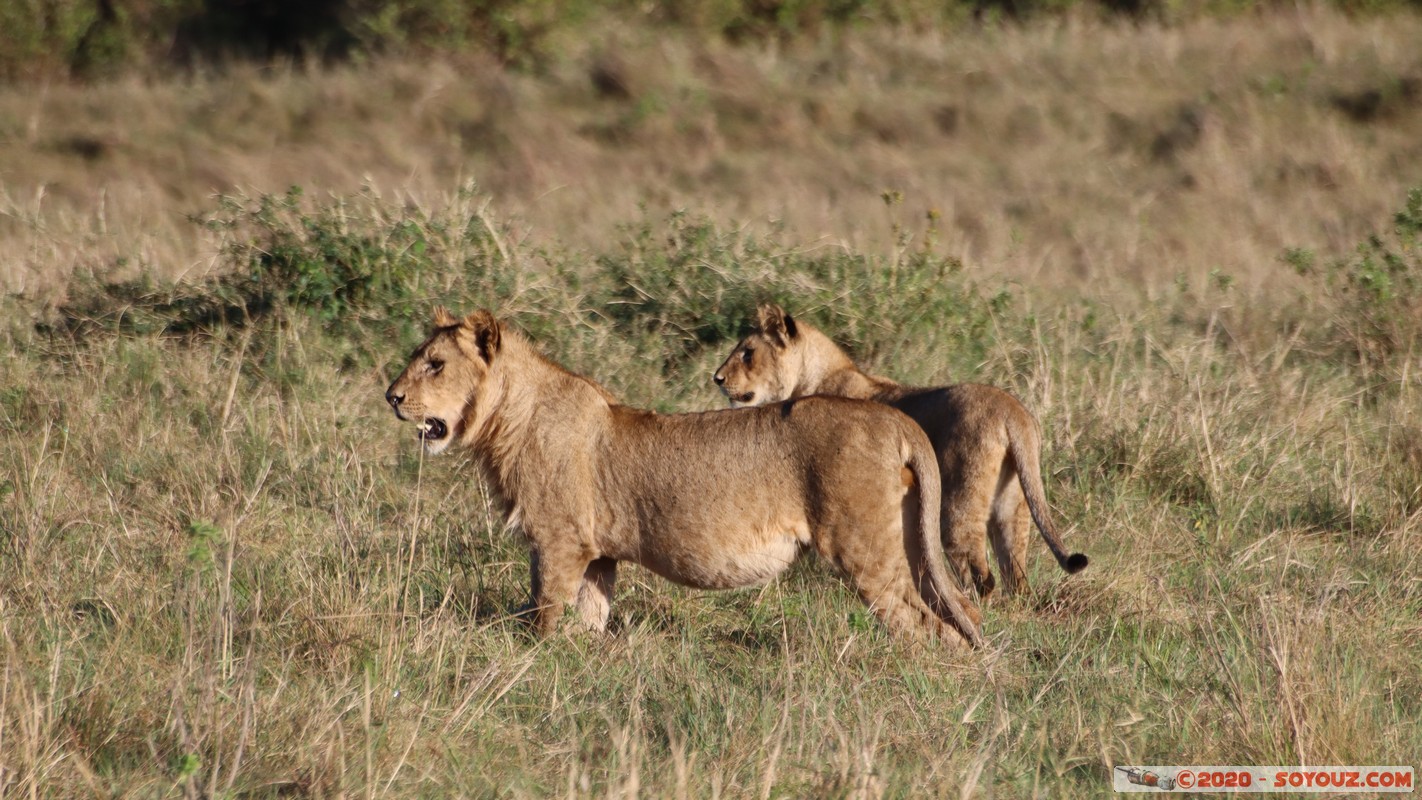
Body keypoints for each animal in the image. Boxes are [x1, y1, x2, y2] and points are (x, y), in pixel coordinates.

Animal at [384, 307, 983, 647]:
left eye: (435, 364)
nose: (391, 396)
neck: (507, 419)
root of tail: (896, 419)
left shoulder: (560, 542)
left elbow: (544, 612)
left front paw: (535, 661)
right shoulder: (599, 555)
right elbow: (589, 616)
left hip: (865, 549)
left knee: (925, 626)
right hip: (909, 541)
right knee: (960, 606)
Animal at [713, 304, 1087, 599]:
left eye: (747, 353)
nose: (717, 378)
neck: (812, 377)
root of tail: (1013, 413)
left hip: (959, 503)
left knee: (980, 573)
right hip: (1013, 505)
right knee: (1016, 577)